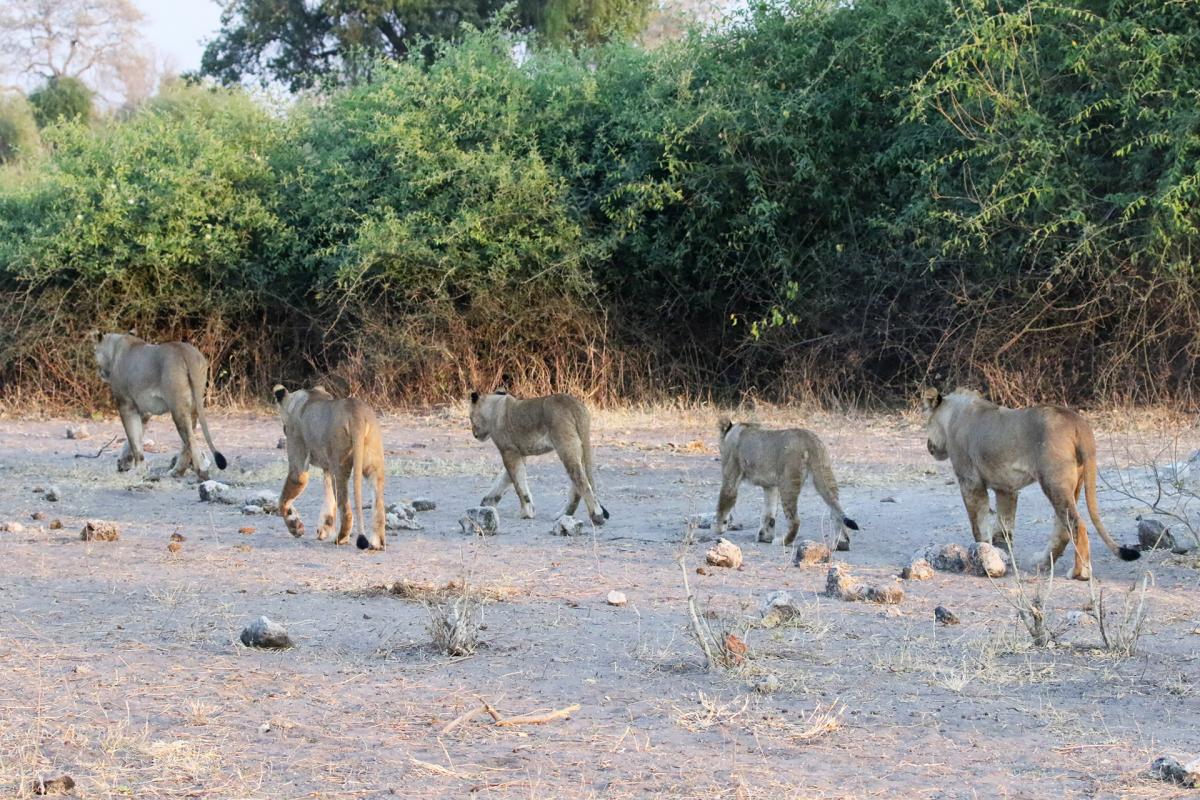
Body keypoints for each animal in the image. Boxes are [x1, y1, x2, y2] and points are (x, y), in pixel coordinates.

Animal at [91, 331, 226, 482]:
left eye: (94, 350)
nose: (99, 373)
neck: (114, 350)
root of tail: (185, 351)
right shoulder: (144, 412)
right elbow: (135, 437)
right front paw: (126, 463)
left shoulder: (125, 404)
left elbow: (133, 439)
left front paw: (137, 470)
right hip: (193, 405)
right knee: (188, 439)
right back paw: (177, 471)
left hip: (177, 406)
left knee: (190, 439)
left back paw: (201, 472)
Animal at [272, 386, 384, 551]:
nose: (284, 428)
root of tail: (356, 413)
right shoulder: (327, 468)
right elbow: (329, 497)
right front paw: (324, 528)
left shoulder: (299, 466)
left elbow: (283, 500)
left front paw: (295, 527)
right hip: (373, 462)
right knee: (379, 504)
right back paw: (377, 544)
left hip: (340, 465)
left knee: (346, 510)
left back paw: (340, 539)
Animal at [468, 381, 609, 525]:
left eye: (470, 418)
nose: (474, 434)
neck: (493, 407)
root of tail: (574, 405)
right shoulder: (518, 454)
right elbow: (504, 480)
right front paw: (486, 504)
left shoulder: (509, 451)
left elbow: (518, 484)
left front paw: (526, 513)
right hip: (579, 449)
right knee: (578, 484)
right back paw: (563, 515)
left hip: (566, 446)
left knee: (581, 481)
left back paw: (596, 516)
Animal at [705, 419, 859, 556]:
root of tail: (810, 439)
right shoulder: (770, 486)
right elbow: (769, 513)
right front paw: (765, 536)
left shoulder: (731, 476)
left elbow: (723, 503)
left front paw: (717, 528)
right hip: (824, 474)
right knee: (836, 511)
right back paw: (839, 544)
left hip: (788, 482)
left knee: (795, 520)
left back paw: (782, 541)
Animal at [921, 383, 1137, 578]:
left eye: (927, 423)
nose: (929, 447)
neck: (954, 415)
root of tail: (1078, 422)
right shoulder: (1006, 488)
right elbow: (1004, 528)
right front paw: (1002, 556)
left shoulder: (970, 481)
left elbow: (979, 525)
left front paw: (983, 552)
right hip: (1073, 482)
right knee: (1062, 528)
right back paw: (1042, 563)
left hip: (1054, 481)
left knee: (1077, 525)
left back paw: (1079, 572)